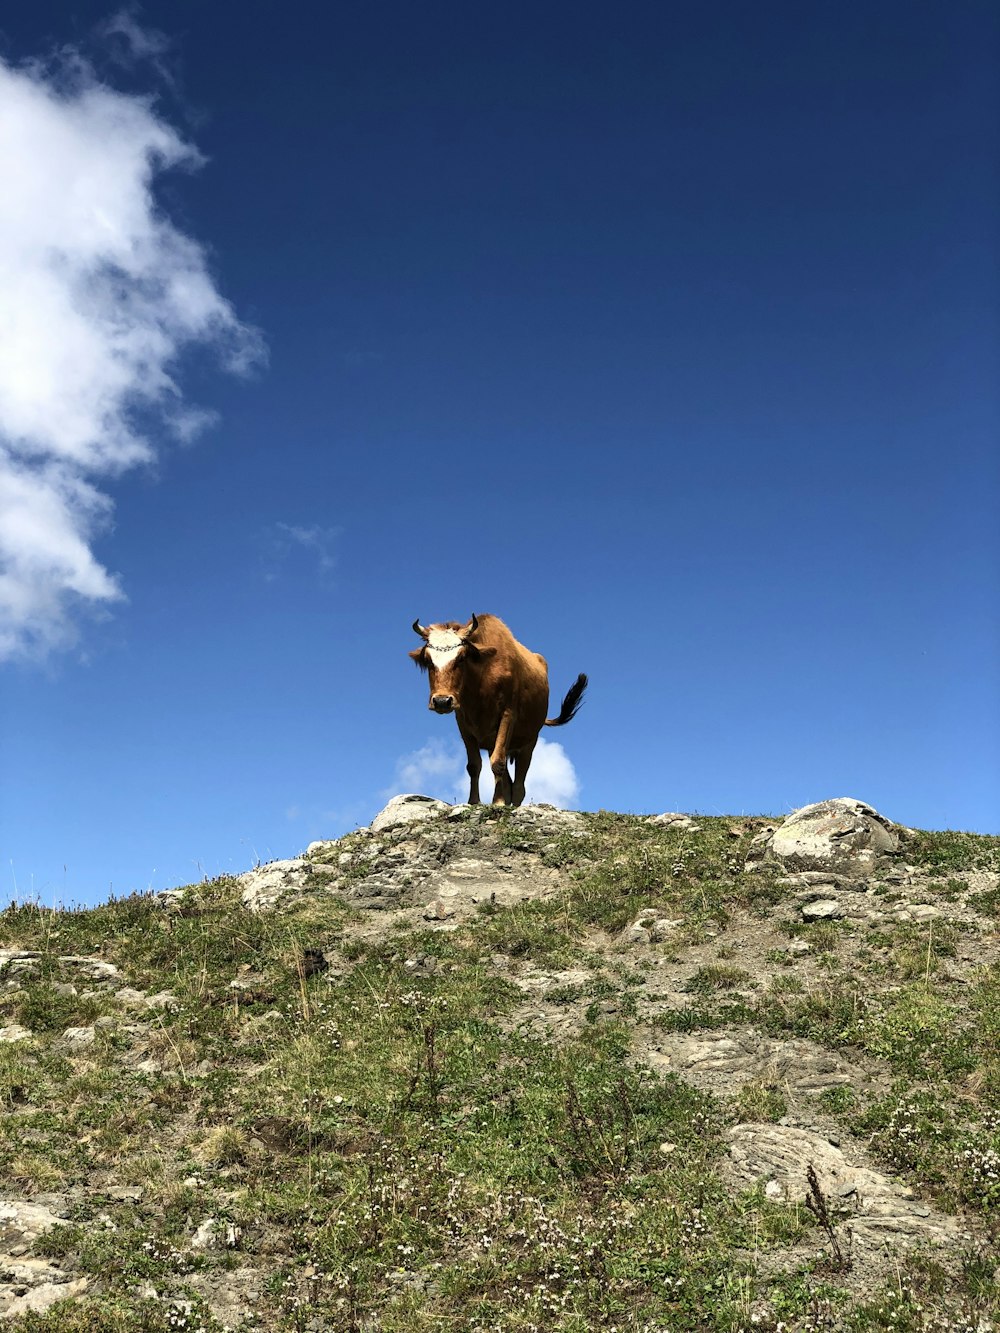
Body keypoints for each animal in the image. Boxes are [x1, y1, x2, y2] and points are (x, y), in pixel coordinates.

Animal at [408, 610, 586, 805]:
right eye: (428, 660)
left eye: (461, 658)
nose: (441, 701)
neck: (481, 679)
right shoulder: (463, 723)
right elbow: (474, 765)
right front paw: (474, 801)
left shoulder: (508, 715)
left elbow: (498, 763)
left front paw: (498, 802)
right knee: (509, 781)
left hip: (529, 741)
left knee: (519, 786)